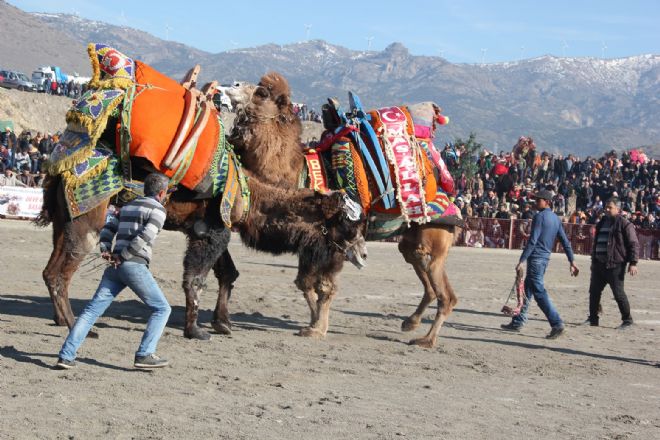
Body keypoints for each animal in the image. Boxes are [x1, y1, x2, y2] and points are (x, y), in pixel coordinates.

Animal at [229, 72, 462, 348]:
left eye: (262, 92)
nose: (232, 85)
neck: (300, 174)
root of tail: (453, 200)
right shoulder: (309, 243)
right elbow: (304, 283)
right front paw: (313, 323)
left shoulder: (335, 242)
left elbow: (323, 286)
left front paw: (318, 328)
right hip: (414, 244)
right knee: (430, 284)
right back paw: (410, 323)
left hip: (433, 241)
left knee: (445, 295)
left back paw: (426, 340)